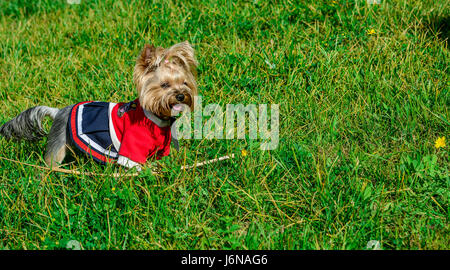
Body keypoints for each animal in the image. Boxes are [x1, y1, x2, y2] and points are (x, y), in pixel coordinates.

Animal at [0, 40, 197, 171]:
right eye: (164, 85)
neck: (156, 118)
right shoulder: (131, 148)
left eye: (185, 83)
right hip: (57, 145)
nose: (181, 96)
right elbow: (135, 168)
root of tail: (59, 112)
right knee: (50, 164)